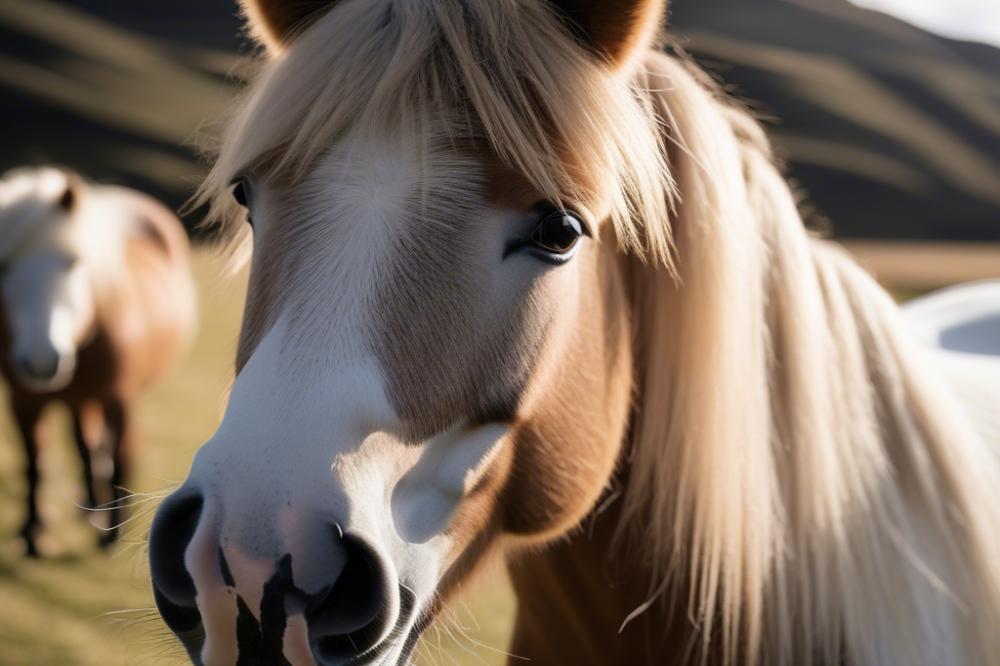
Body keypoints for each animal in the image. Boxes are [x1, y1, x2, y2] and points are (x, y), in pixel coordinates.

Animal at [0, 167, 197, 556]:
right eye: (4, 267)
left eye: (73, 262)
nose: (42, 362)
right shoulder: (24, 400)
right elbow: (34, 463)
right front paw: (32, 533)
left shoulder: (117, 398)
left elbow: (120, 455)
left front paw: (111, 534)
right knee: (83, 442)